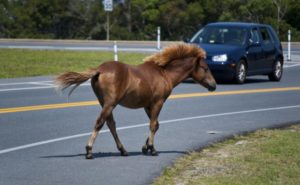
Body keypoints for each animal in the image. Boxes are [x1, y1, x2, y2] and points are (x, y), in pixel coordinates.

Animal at [55, 43, 216, 159]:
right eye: (205, 68)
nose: (214, 85)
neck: (164, 74)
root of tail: (99, 70)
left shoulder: (147, 105)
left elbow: (156, 124)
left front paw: (146, 147)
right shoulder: (158, 102)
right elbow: (153, 125)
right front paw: (152, 149)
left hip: (105, 103)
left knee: (110, 124)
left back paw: (123, 150)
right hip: (110, 103)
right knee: (100, 122)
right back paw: (89, 151)